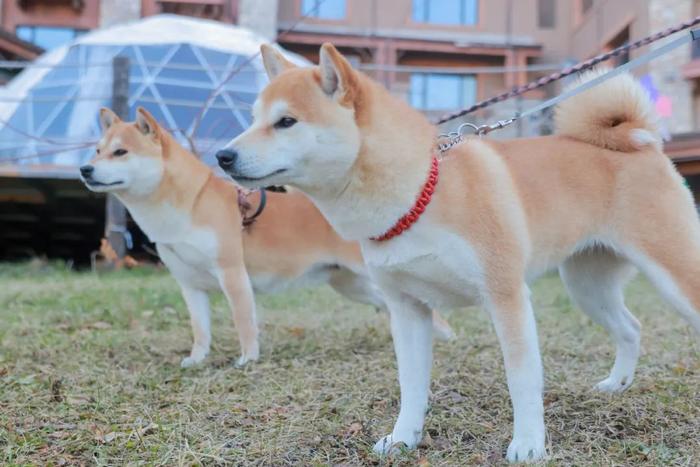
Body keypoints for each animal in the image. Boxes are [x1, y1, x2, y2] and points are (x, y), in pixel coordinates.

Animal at [80, 107, 454, 370]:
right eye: (97, 150)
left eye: (120, 153)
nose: (85, 169)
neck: (189, 205)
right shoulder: (190, 285)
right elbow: (200, 330)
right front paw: (197, 359)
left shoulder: (232, 274)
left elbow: (244, 323)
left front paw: (248, 359)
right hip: (354, 286)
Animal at [219, 44, 700, 464]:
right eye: (252, 119)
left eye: (286, 121)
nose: (223, 154)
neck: (418, 194)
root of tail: (640, 141)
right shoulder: (406, 309)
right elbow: (411, 385)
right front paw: (403, 438)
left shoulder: (506, 297)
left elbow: (522, 379)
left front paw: (529, 445)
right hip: (587, 287)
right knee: (631, 328)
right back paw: (618, 383)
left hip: (671, 276)